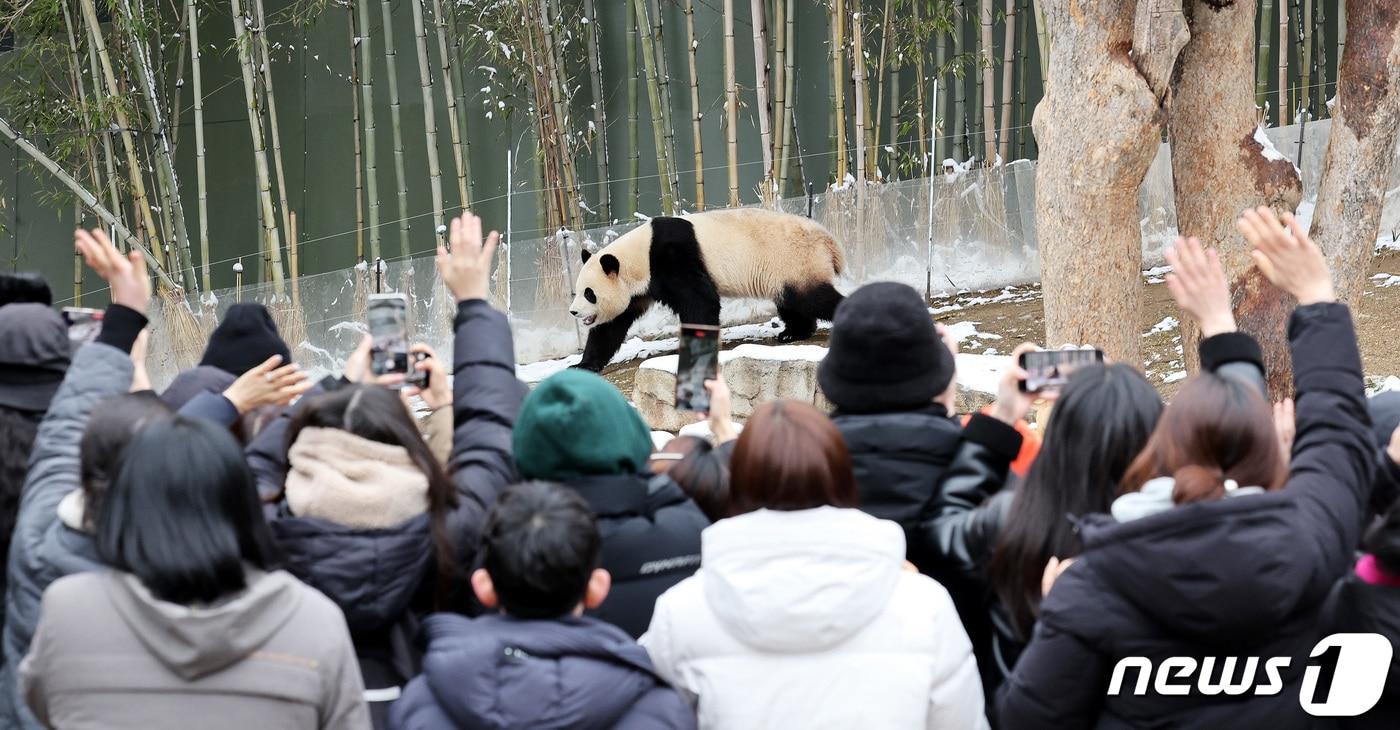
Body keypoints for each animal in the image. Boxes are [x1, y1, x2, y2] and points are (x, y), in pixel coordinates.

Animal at [565, 208, 840, 369]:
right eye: (577, 291)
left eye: (589, 293)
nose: (573, 312)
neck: (638, 256)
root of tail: (829, 241)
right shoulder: (637, 290)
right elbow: (610, 327)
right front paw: (583, 365)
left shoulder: (672, 256)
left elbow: (700, 301)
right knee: (792, 301)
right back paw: (794, 333)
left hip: (795, 260)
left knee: (813, 298)